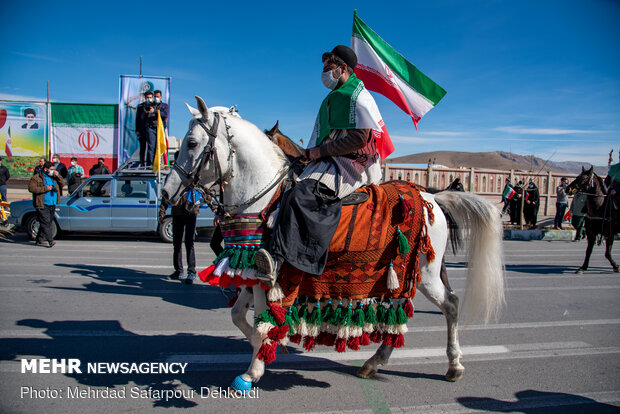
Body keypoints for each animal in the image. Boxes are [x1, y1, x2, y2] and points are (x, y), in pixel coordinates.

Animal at [162, 96, 506, 392]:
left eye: (192, 143)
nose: (167, 193)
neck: (265, 200)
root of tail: (431, 196)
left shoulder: (267, 276)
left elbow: (261, 322)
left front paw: (252, 372)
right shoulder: (250, 272)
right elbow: (238, 316)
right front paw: (272, 347)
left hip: (426, 274)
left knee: (451, 305)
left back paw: (453, 365)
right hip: (406, 275)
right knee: (405, 314)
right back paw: (374, 363)